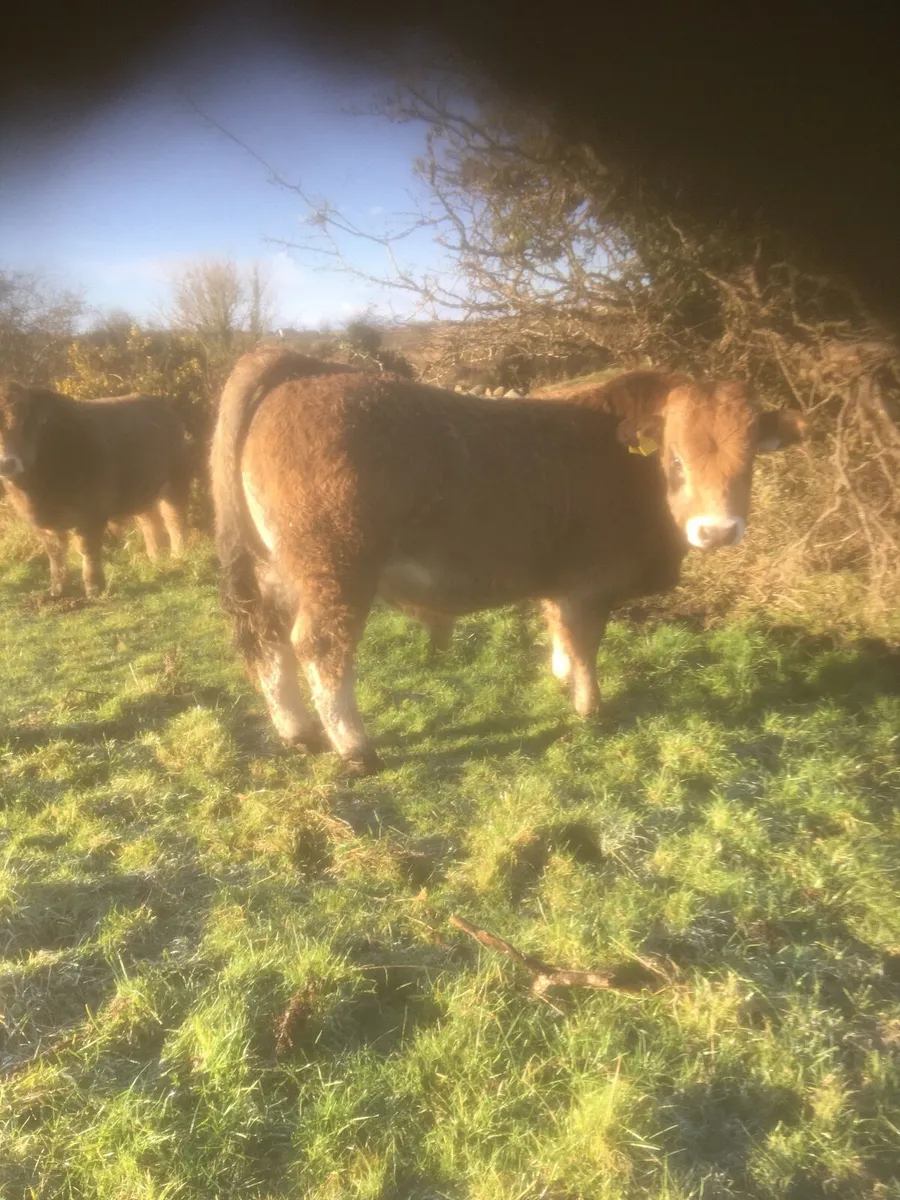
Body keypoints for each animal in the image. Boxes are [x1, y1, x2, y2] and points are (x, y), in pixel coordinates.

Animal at [0, 381, 191, 597]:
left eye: (24, 422)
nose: (6, 464)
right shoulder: (39, 522)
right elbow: (55, 551)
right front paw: (58, 589)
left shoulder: (91, 513)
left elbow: (87, 549)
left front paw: (94, 588)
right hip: (144, 491)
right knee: (150, 523)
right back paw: (156, 557)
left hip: (176, 482)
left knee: (175, 520)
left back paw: (178, 556)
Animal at [211, 346, 804, 774]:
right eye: (676, 461)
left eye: (749, 461)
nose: (717, 530)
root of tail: (302, 365)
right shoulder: (589, 585)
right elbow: (585, 643)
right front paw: (589, 707)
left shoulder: (561, 582)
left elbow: (560, 632)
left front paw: (560, 678)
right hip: (337, 568)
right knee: (320, 646)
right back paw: (355, 750)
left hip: (276, 570)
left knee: (267, 640)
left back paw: (299, 733)